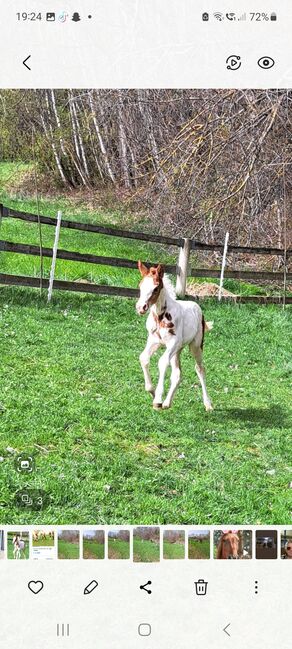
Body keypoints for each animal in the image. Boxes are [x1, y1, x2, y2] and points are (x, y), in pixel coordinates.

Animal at [136, 260, 213, 408]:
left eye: (155, 288)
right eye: (140, 285)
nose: (140, 308)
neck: (160, 317)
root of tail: (197, 308)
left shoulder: (173, 342)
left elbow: (161, 362)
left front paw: (158, 399)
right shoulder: (154, 341)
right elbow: (143, 358)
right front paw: (152, 391)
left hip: (195, 345)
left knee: (200, 368)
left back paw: (208, 404)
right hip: (177, 350)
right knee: (177, 374)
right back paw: (167, 403)